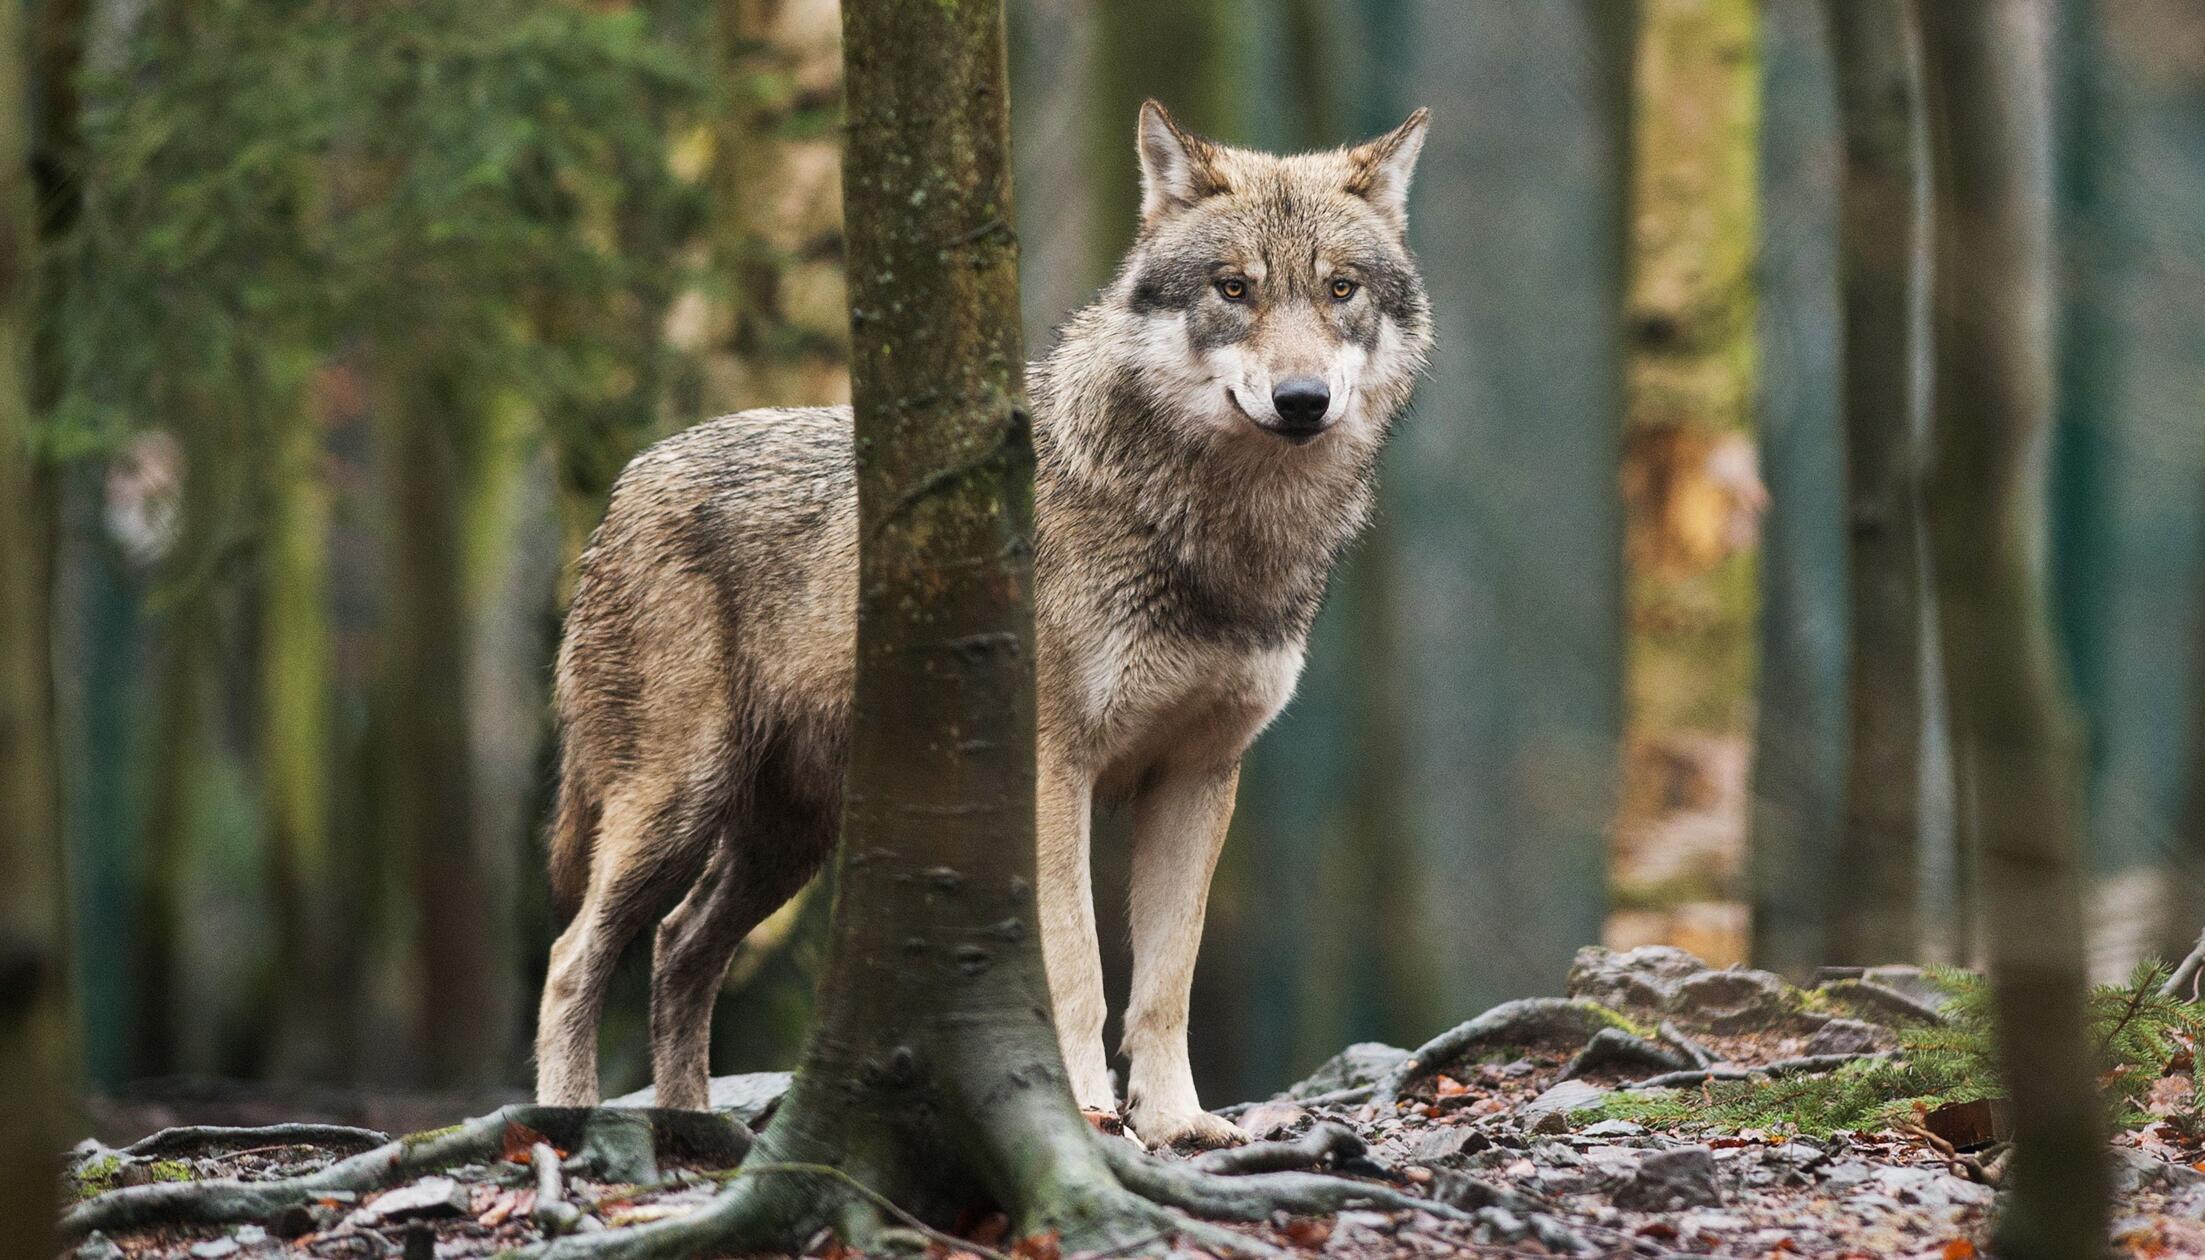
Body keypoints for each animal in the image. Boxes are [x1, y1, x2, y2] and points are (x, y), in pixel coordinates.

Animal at [534, 101, 1433, 1149]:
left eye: (1340, 289)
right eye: (1233, 288)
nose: (1301, 400)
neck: (1214, 535)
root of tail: (627, 482)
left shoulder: (1199, 775)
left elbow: (1166, 982)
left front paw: (1178, 1124)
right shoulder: (1053, 769)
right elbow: (1079, 968)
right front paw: (1085, 1111)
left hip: (786, 840)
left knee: (679, 949)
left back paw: (693, 1131)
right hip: (678, 804)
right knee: (573, 958)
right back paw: (566, 1125)